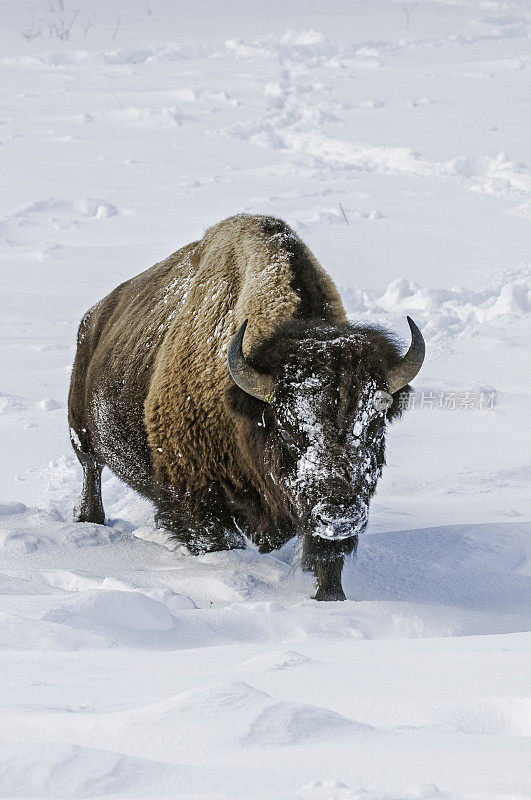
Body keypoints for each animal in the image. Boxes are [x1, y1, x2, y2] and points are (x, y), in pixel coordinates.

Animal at [68, 212, 424, 600]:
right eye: (289, 427)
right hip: (81, 432)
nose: (339, 515)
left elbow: (327, 560)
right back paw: (88, 519)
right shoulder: (200, 503)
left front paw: (331, 599)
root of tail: (93, 319)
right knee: (91, 470)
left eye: (375, 423)